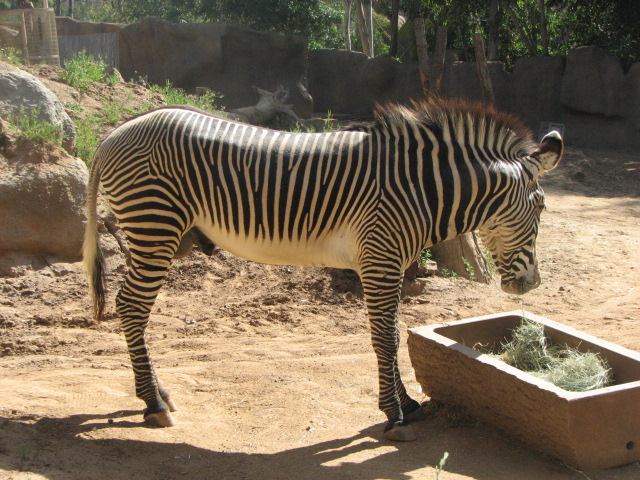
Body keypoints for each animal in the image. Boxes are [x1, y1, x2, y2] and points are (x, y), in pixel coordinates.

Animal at [83, 98, 563, 442]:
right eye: (541, 207)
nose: (532, 285)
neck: (420, 188)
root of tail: (114, 134)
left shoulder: (389, 263)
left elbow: (392, 332)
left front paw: (407, 404)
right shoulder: (380, 259)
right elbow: (385, 338)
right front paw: (395, 416)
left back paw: (157, 395)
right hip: (154, 225)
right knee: (131, 307)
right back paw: (152, 404)